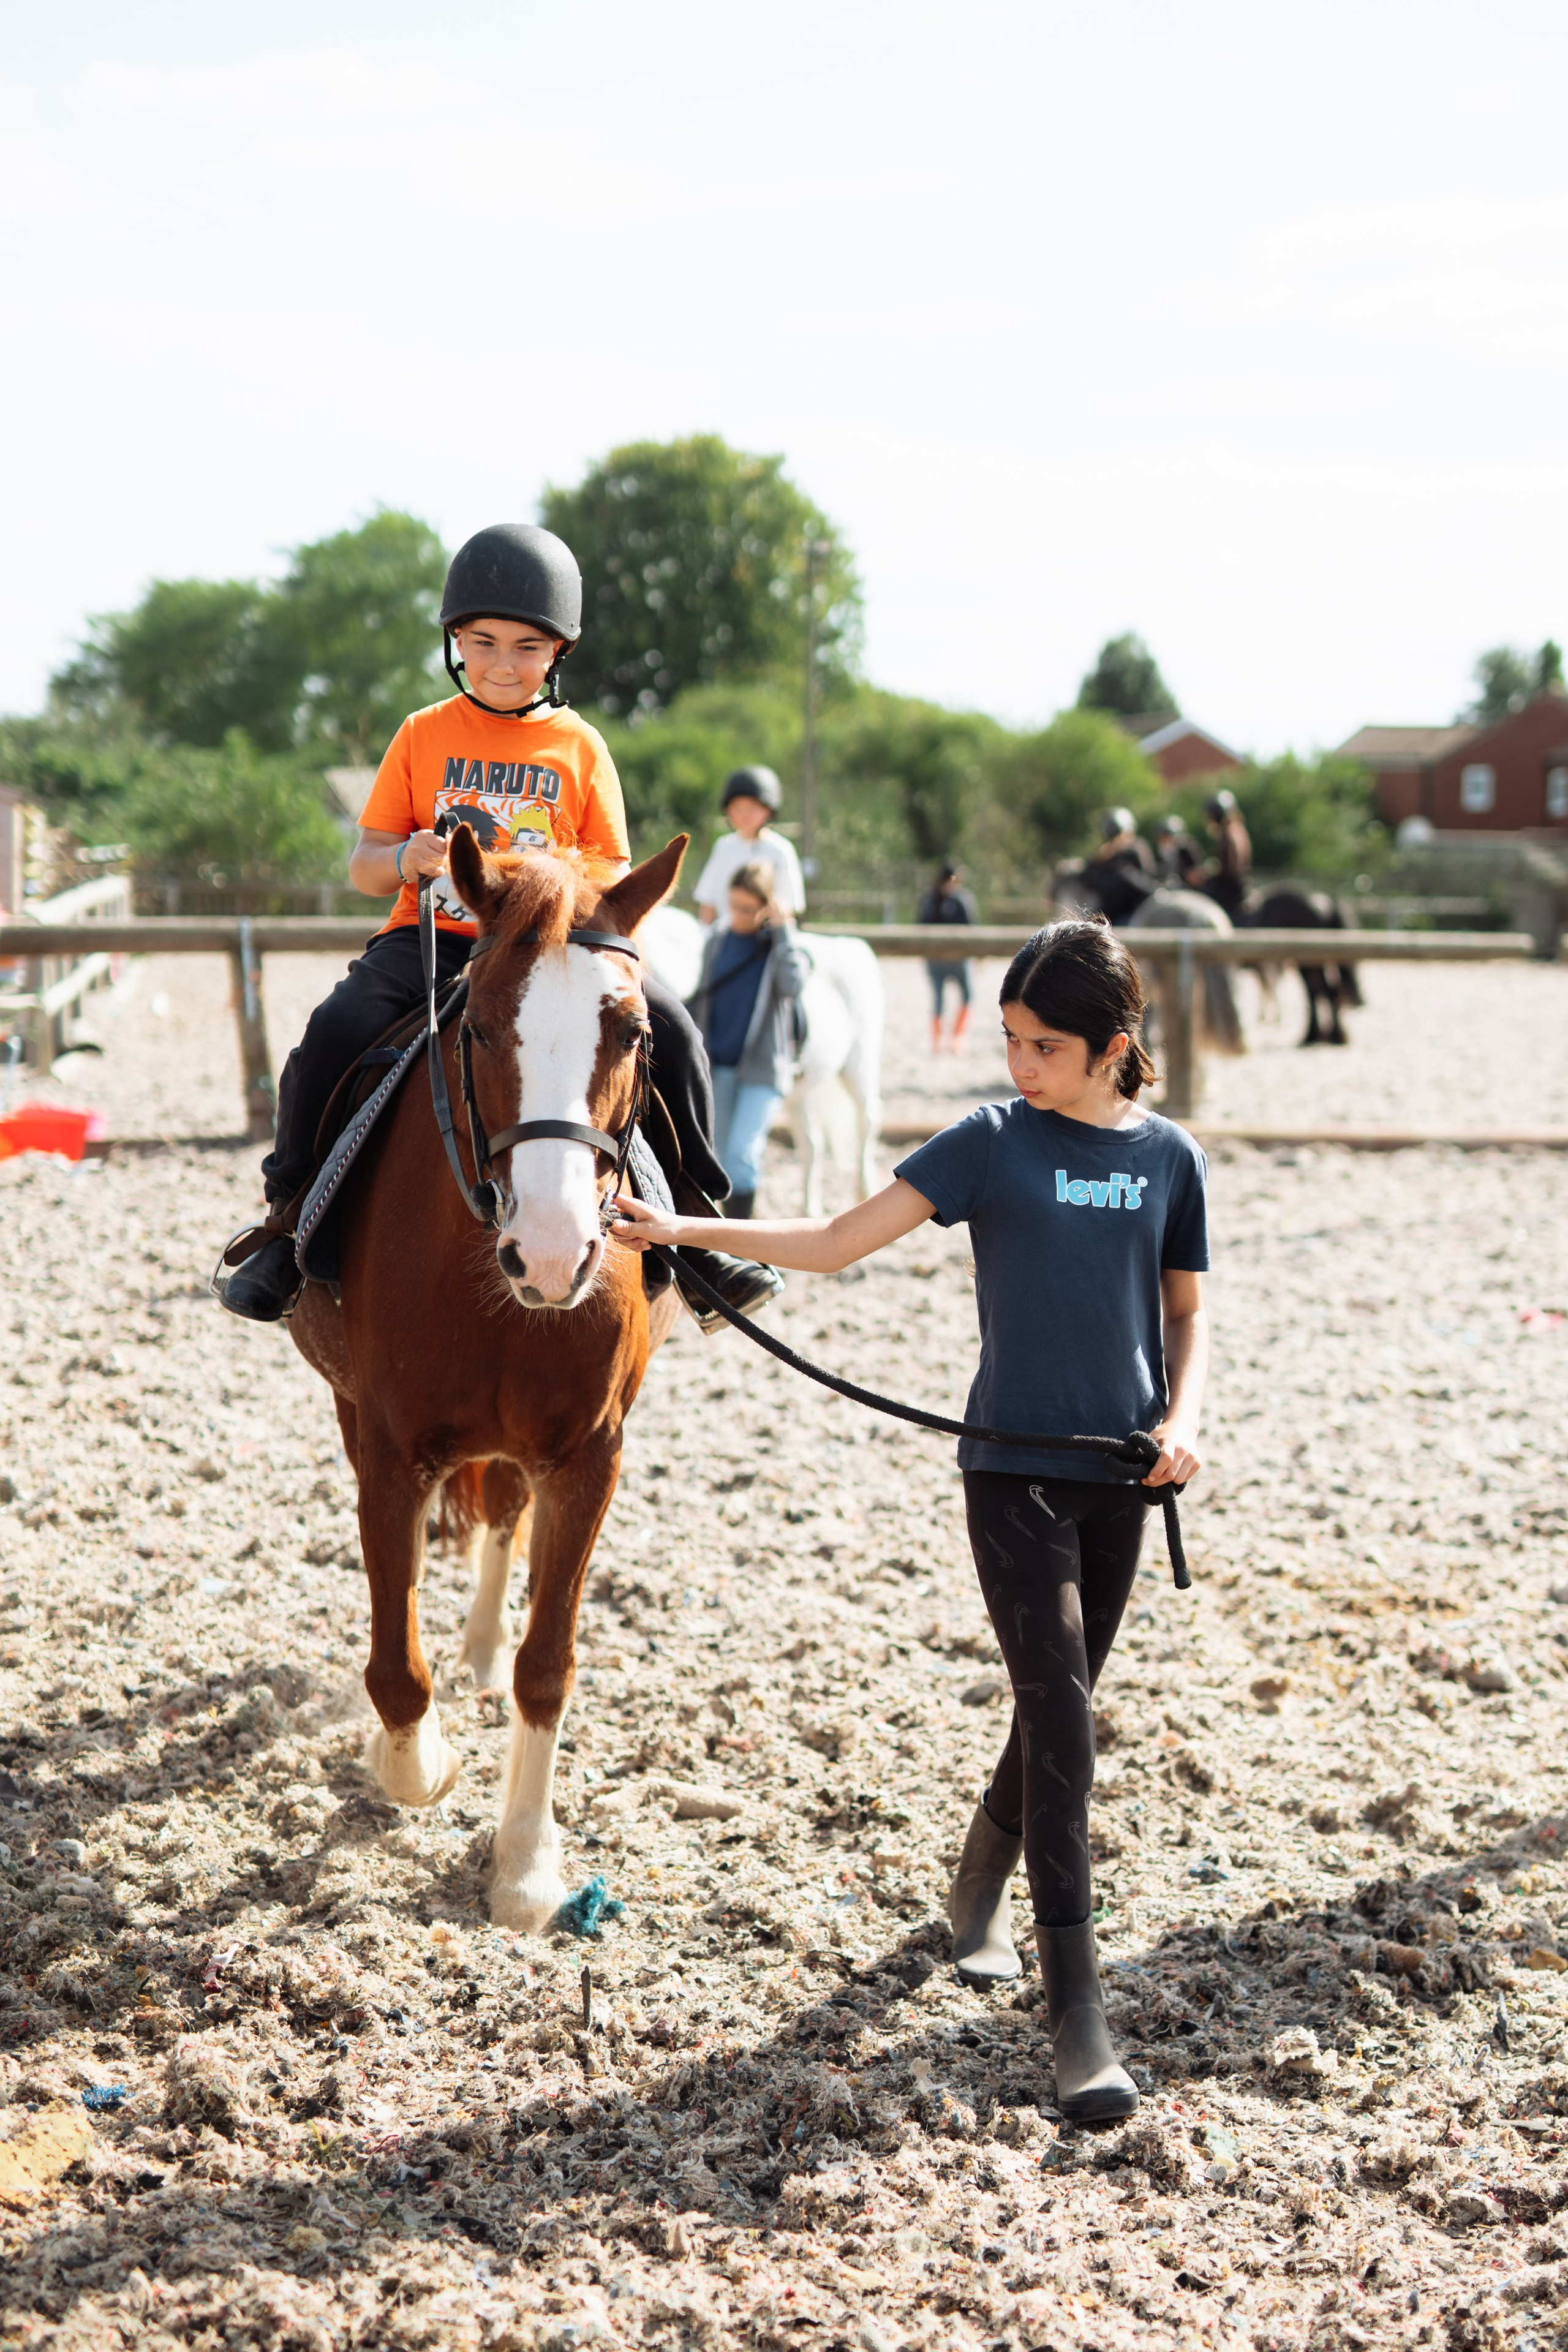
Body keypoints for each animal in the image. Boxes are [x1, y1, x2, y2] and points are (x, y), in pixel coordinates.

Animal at [287, 828, 686, 1931]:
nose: (551, 1254)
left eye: (632, 1032)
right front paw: (411, 1759)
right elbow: (393, 1657)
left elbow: (548, 1667)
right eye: (477, 1028)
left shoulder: (589, 1456)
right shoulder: (387, 1448)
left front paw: (525, 1867)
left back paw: (477, 1650)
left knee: (503, 1518)